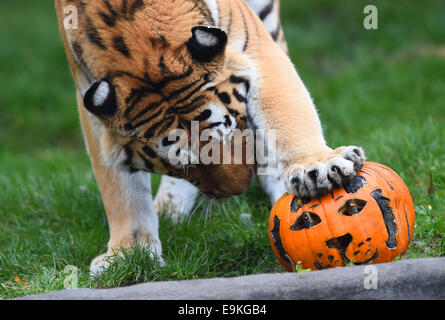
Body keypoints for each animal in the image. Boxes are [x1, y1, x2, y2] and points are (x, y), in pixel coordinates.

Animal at [53, 0, 364, 276]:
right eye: (180, 166)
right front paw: (130, 251)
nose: (241, 187)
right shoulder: (89, 97)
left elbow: (287, 112)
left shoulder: (255, 50)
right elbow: (119, 188)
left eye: (230, 129)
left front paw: (317, 167)